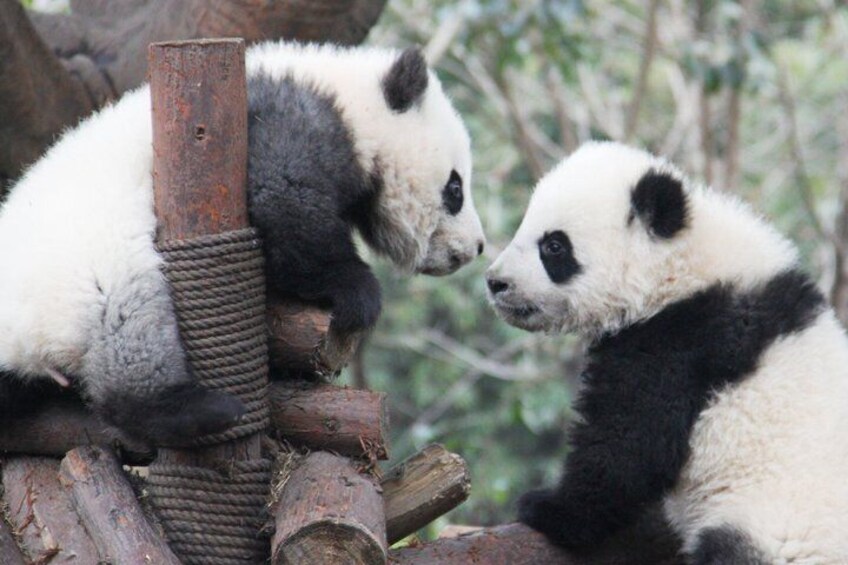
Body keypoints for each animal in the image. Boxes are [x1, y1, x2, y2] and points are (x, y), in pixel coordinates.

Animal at [0, 42, 485, 447]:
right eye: (455, 189)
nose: (477, 248)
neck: (347, 97)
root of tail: (21, 346)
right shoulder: (286, 122)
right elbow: (284, 206)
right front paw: (357, 292)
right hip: (83, 269)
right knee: (126, 326)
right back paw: (194, 410)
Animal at [486, 141, 848, 563]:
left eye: (554, 246)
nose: (496, 282)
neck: (680, 266)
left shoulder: (683, 341)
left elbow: (629, 443)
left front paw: (551, 509)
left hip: (771, 526)